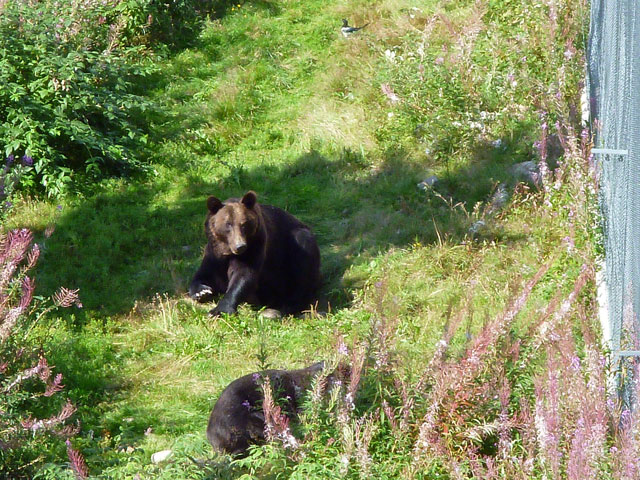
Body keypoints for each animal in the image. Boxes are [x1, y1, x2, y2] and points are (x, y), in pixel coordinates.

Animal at [189, 189, 320, 316]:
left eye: (244, 224)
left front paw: (219, 310)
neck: (227, 251)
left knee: (303, 260)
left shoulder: (255, 245)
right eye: (228, 224)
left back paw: (288, 305)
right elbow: (204, 274)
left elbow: (243, 275)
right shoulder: (214, 253)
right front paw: (202, 292)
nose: (240, 246)